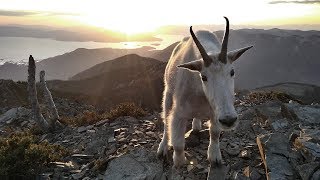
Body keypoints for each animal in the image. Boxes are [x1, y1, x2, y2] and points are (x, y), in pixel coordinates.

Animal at [158, 17, 252, 167]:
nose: (229, 120)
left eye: (232, 71)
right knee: (166, 121)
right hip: (168, 93)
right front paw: (179, 162)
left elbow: (214, 133)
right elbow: (178, 143)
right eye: (204, 77)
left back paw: (196, 126)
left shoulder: (215, 112)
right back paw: (162, 148)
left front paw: (214, 157)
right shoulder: (178, 113)